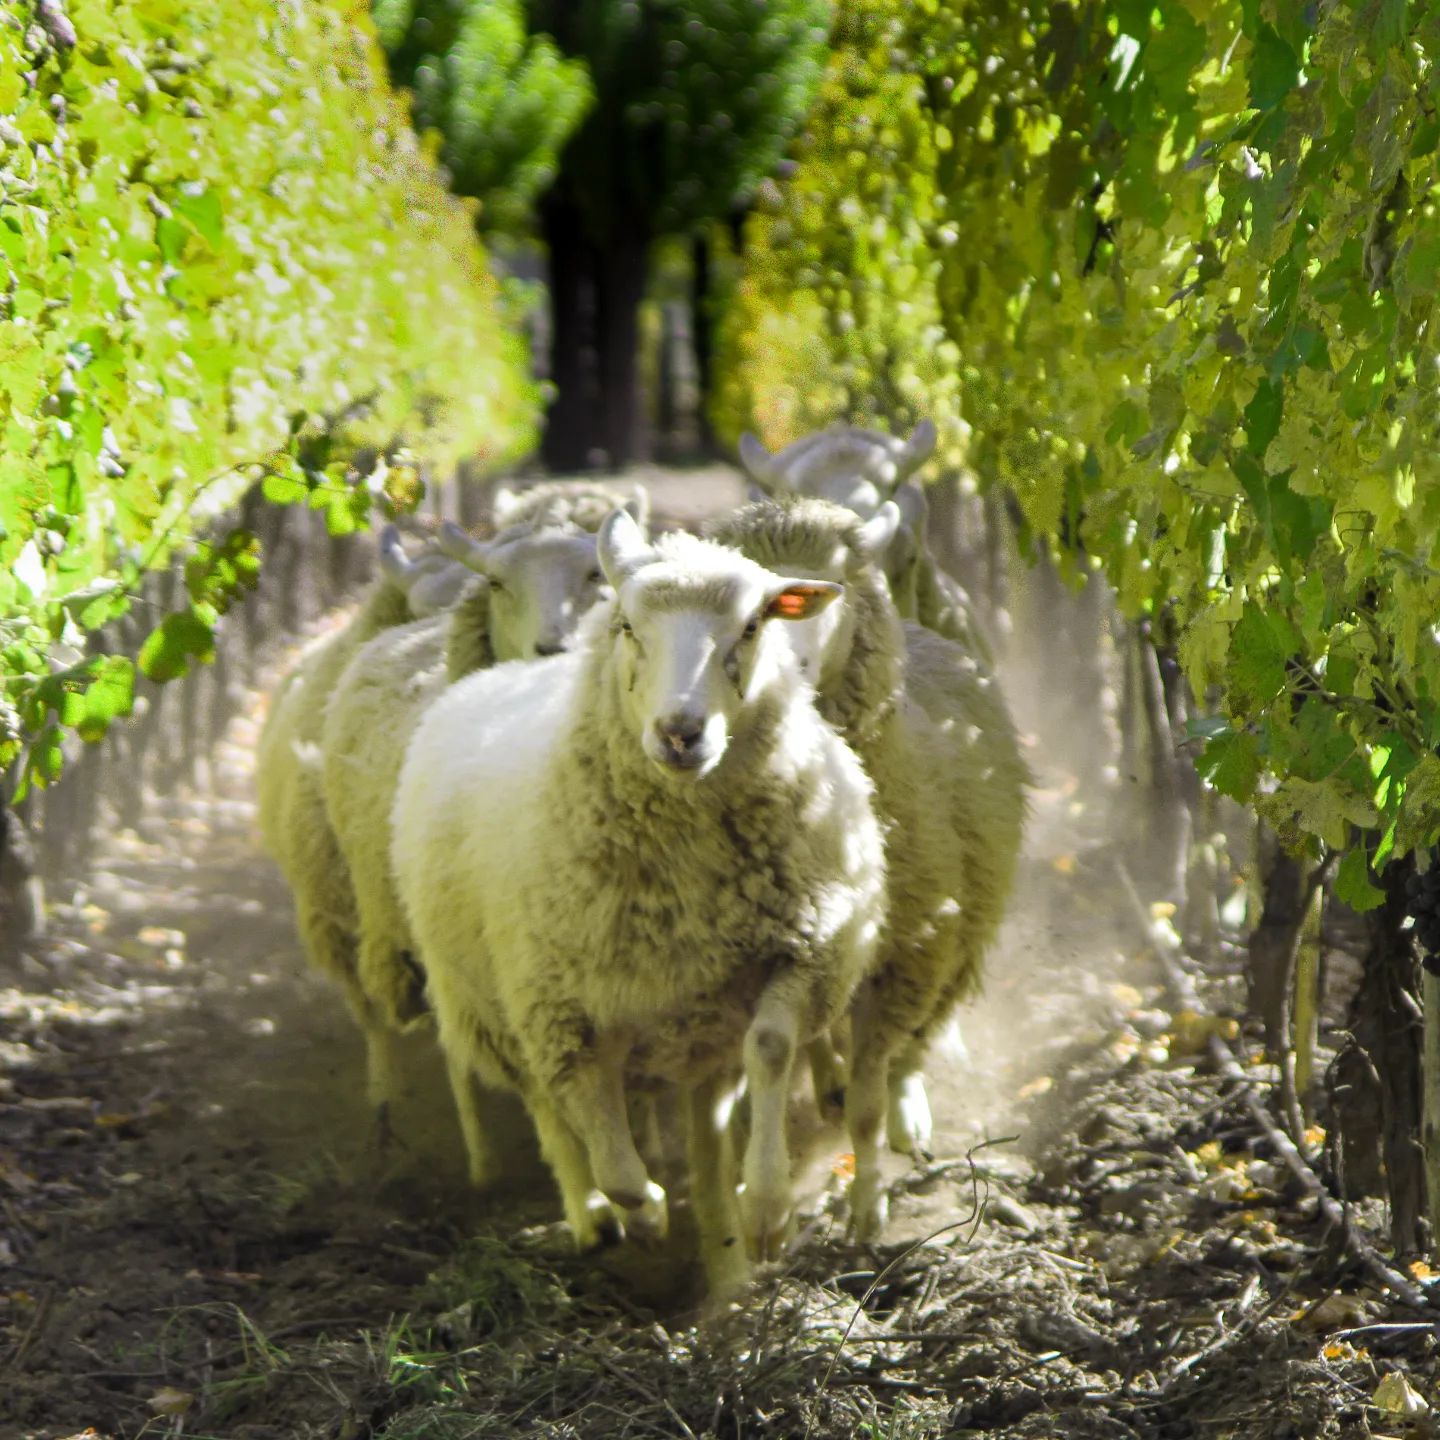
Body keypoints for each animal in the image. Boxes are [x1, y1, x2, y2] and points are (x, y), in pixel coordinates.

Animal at [394, 512, 887, 1290]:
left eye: (753, 625)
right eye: (626, 625)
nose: (681, 732)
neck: (689, 873)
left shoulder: (802, 951)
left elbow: (772, 1048)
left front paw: (767, 1209)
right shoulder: (560, 1012)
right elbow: (604, 1143)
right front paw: (644, 1211)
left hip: (696, 1024)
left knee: (707, 1125)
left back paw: (722, 1236)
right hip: (493, 1006)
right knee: (550, 1108)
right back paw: (591, 1215)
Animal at [705, 498, 1025, 1238]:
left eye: (829, 588)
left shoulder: (915, 949)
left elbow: (871, 1100)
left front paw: (867, 1209)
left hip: (956, 933)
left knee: (912, 1046)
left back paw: (907, 1114)